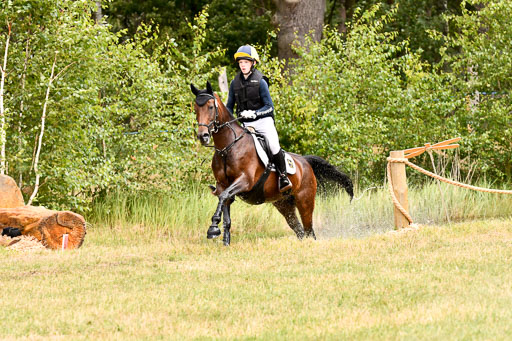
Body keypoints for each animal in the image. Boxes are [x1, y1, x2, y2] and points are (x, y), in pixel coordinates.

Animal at [190, 81, 354, 244]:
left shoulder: (245, 181)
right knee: (300, 230)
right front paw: (223, 239)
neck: (227, 148)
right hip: (284, 204)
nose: (203, 136)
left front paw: (213, 228)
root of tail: (305, 162)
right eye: (196, 109)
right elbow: (225, 206)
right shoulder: (222, 185)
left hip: (305, 201)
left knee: (309, 230)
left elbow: (223, 197)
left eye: (211, 107)